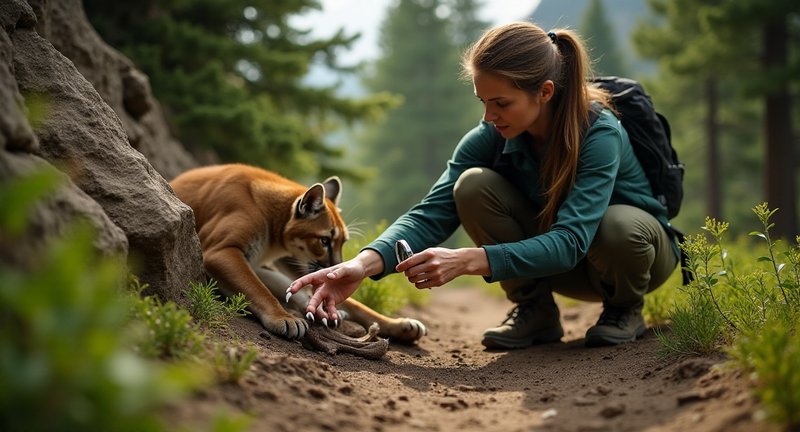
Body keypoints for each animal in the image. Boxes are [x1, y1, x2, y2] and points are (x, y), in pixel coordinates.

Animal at [172, 164, 428, 342]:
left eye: (342, 242)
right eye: (324, 240)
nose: (336, 265)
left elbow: (355, 303)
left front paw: (399, 325)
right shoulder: (221, 250)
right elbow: (258, 289)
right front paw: (284, 318)